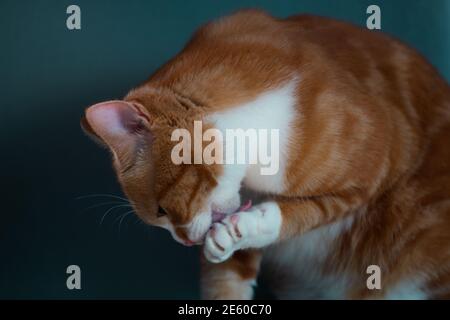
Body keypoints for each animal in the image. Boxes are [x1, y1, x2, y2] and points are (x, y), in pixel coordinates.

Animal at [82, 10, 450, 300]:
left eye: (162, 210)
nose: (185, 242)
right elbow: (227, 282)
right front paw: (227, 241)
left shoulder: (375, 164)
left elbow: (306, 211)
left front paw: (247, 225)